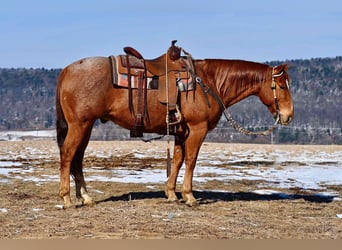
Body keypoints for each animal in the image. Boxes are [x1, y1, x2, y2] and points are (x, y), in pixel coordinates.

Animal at [56, 43, 294, 209]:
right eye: (282, 86)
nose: (288, 116)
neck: (209, 81)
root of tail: (66, 70)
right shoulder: (197, 129)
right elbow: (191, 160)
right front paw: (189, 196)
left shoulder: (181, 131)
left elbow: (178, 160)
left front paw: (171, 193)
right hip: (79, 125)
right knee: (68, 155)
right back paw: (66, 199)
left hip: (86, 126)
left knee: (77, 159)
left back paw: (86, 197)